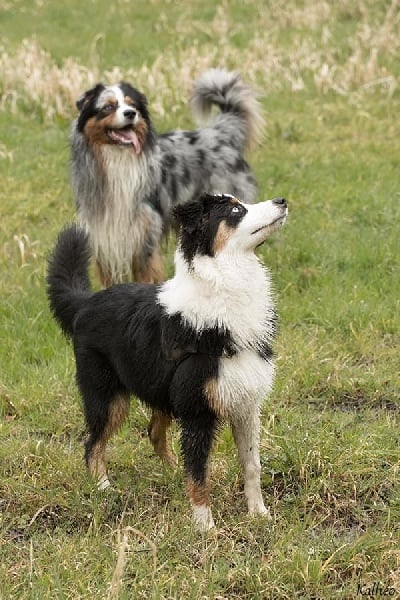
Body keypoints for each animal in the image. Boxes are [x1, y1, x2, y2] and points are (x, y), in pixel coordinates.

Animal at [47, 192, 287, 531]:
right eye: (236, 210)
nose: (282, 201)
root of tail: (86, 302)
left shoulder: (246, 404)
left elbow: (252, 464)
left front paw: (259, 513)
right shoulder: (199, 411)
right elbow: (199, 474)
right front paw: (205, 527)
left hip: (160, 390)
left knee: (153, 432)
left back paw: (172, 472)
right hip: (108, 398)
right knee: (92, 444)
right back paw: (104, 488)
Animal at [70, 69, 264, 286]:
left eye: (132, 105)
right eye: (108, 107)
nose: (130, 114)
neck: (119, 161)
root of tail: (220, 134)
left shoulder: (144, 238)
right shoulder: (104, 238)